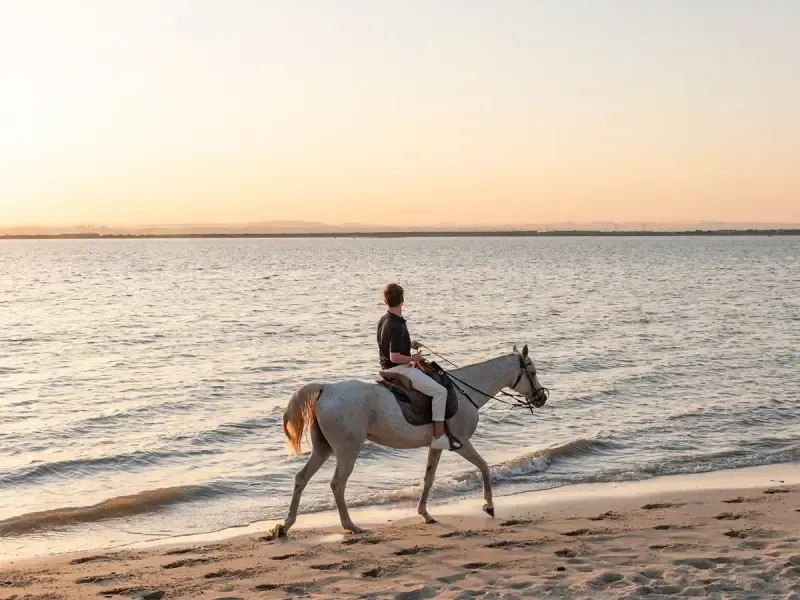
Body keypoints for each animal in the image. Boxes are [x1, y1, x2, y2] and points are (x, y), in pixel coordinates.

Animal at [275, 344, 548, 536]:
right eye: (532, 372)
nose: (541, 397)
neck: (465, 390)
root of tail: (326, 389)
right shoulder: (461, 442)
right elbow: (483, 466)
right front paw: (488, 506)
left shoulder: (437, 446)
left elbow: (429, 478)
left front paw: (425, 513)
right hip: (347, 449)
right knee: (337, 484)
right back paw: (350, 525)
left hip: (324, 449)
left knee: (301, 478)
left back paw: (285, 525)